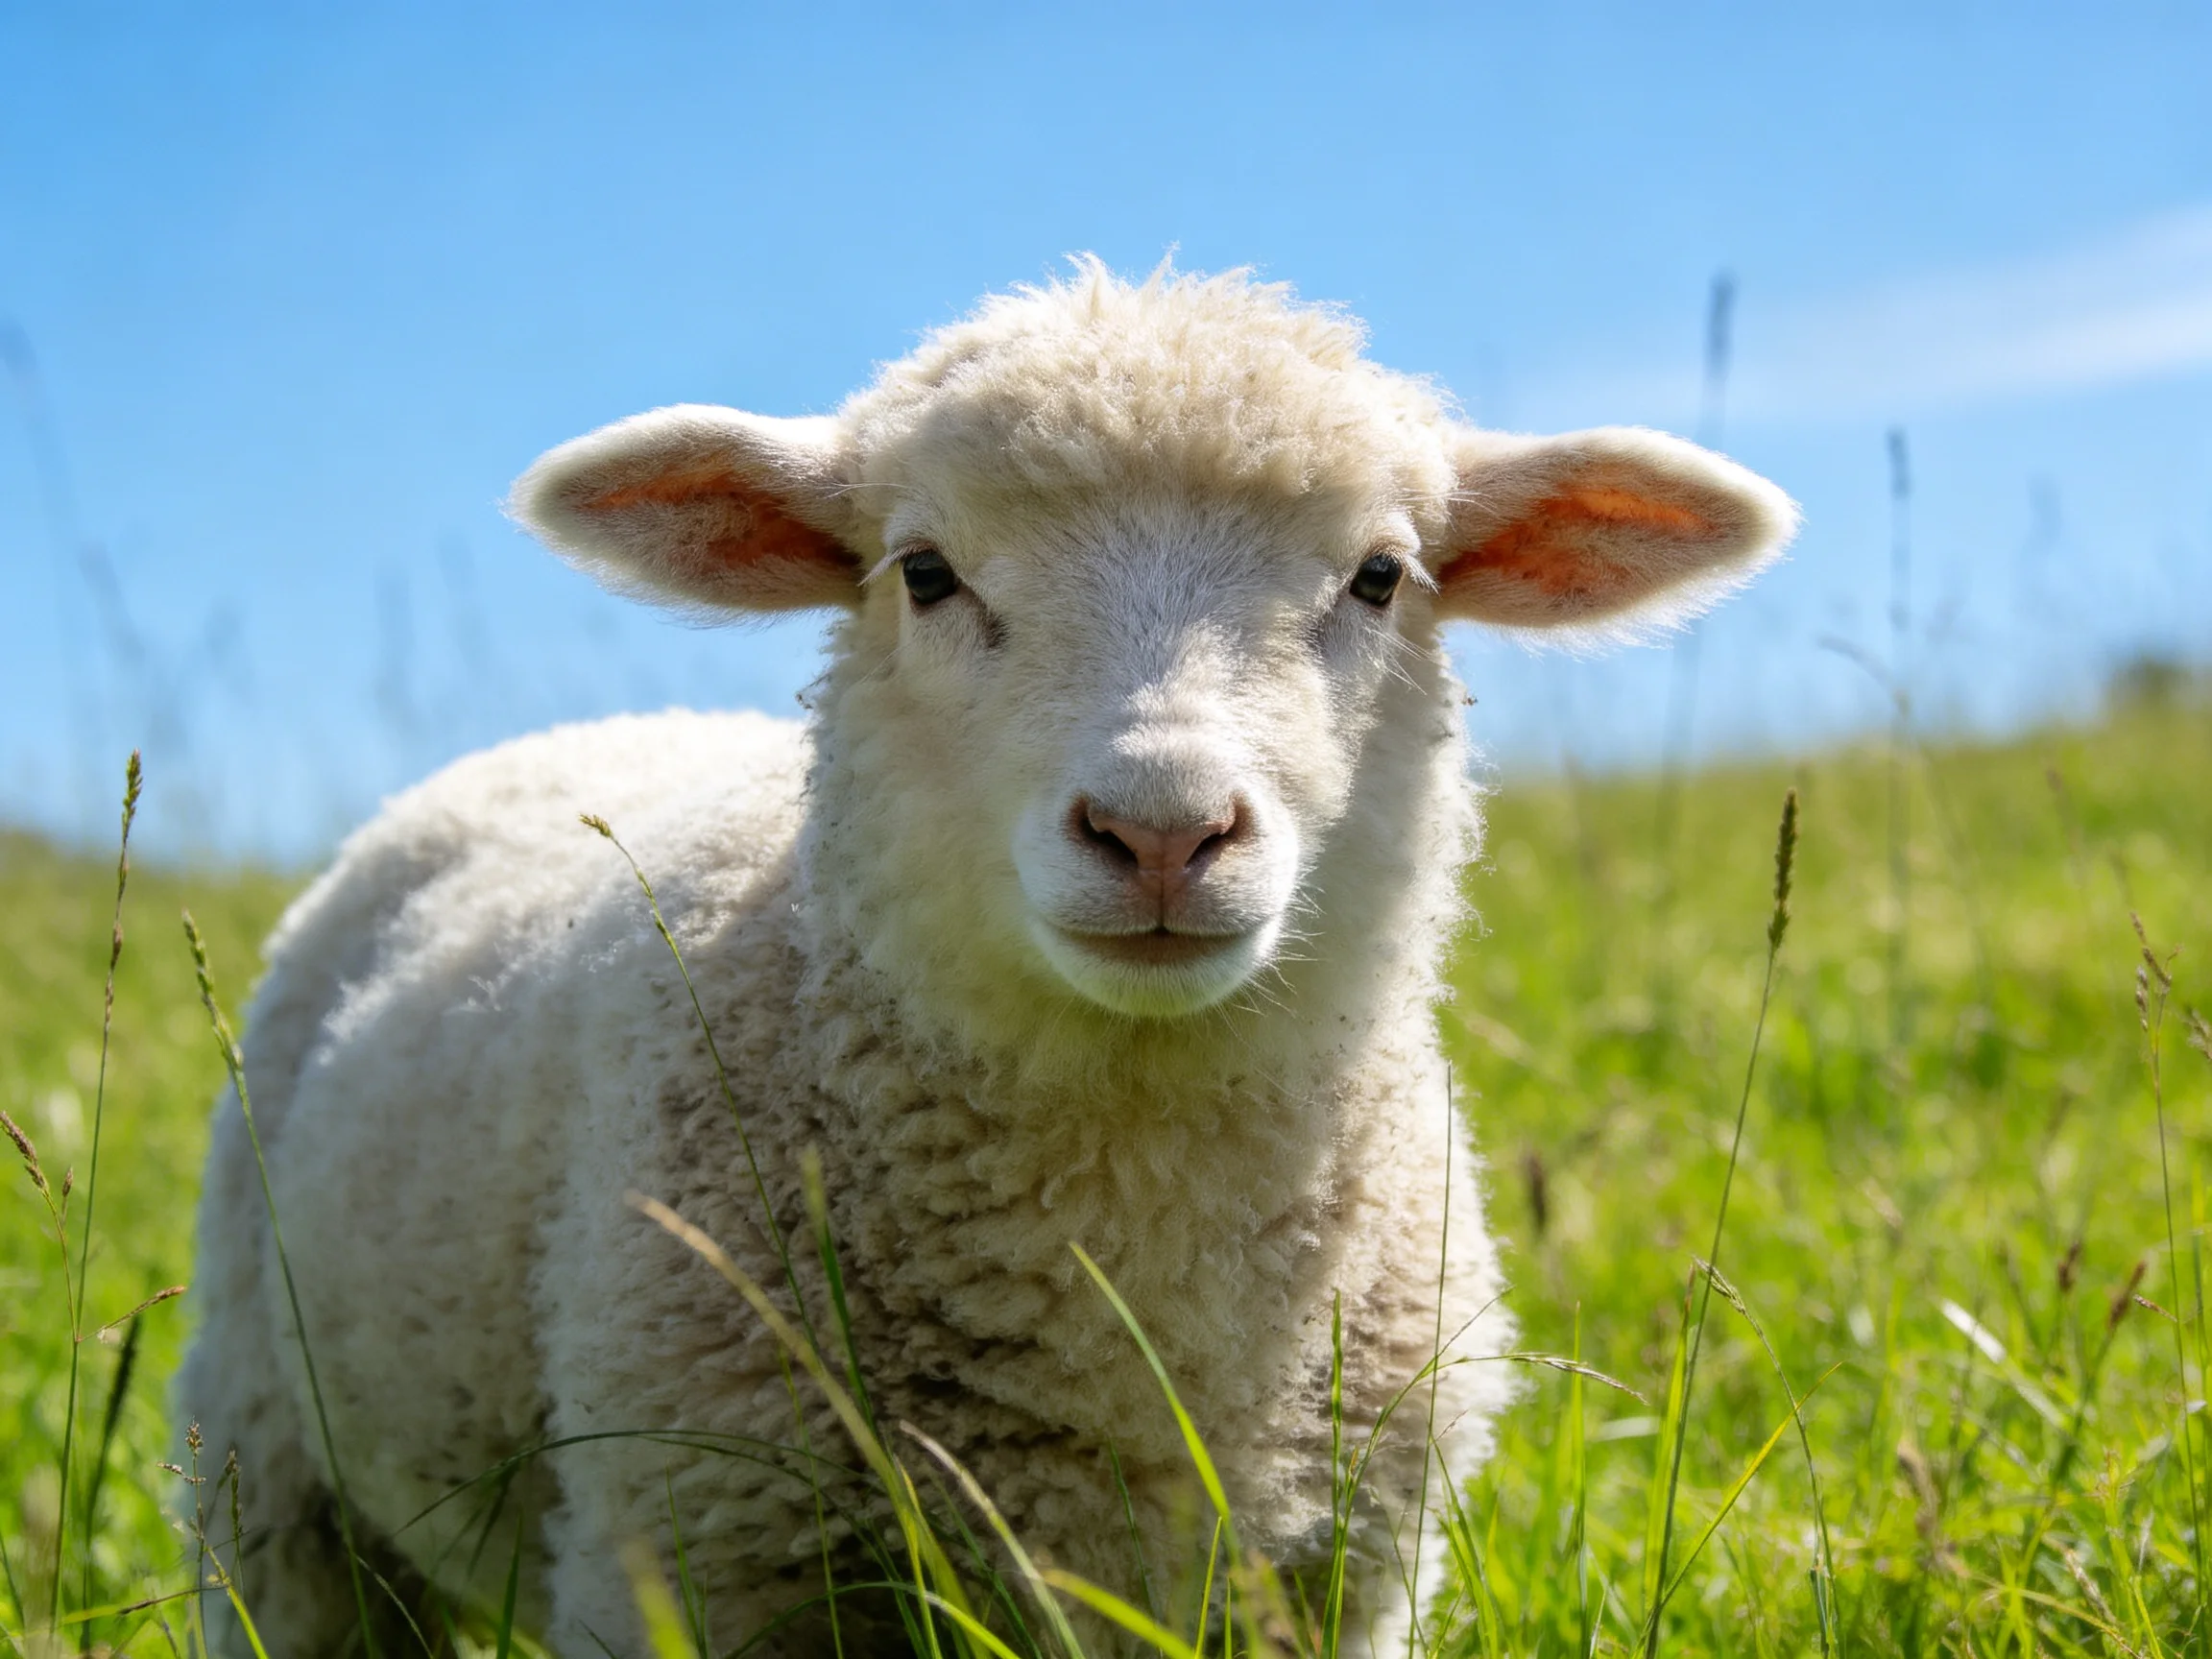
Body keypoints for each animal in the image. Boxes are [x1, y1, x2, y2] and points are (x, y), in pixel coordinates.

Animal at [175, 261, 1795, 1659]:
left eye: (1383, 577)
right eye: (927, 572)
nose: (1162, 829)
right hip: (270, 1472)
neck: (1124, 1209)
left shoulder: (1348, 1574)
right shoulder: (690, 1555)